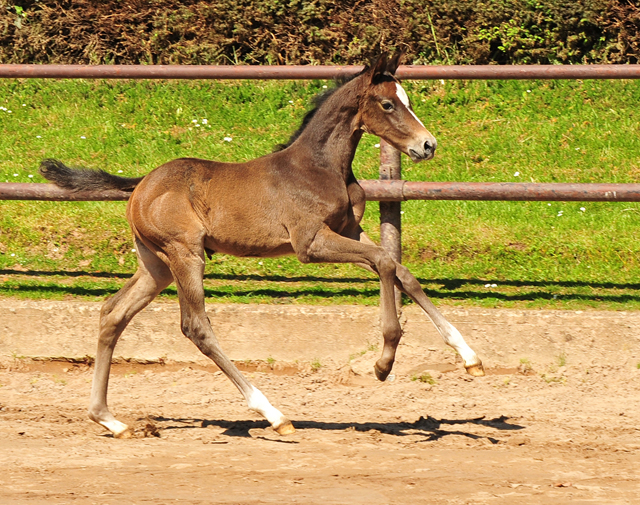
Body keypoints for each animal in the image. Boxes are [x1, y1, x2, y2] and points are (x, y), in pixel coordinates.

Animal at [40, 54, 484, 438]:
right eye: (389, 104)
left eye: (408, 101)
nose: (428, 145)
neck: (320, 167)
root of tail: (140, 185)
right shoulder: (310, 243)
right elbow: (384, 263)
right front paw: (383, 362)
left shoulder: (349, 230)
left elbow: (400, 269)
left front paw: (470, 357)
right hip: (185, 254)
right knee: (195, 326)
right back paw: (274, 414)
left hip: (156, 265)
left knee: (113, 313)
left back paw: (110, 420)